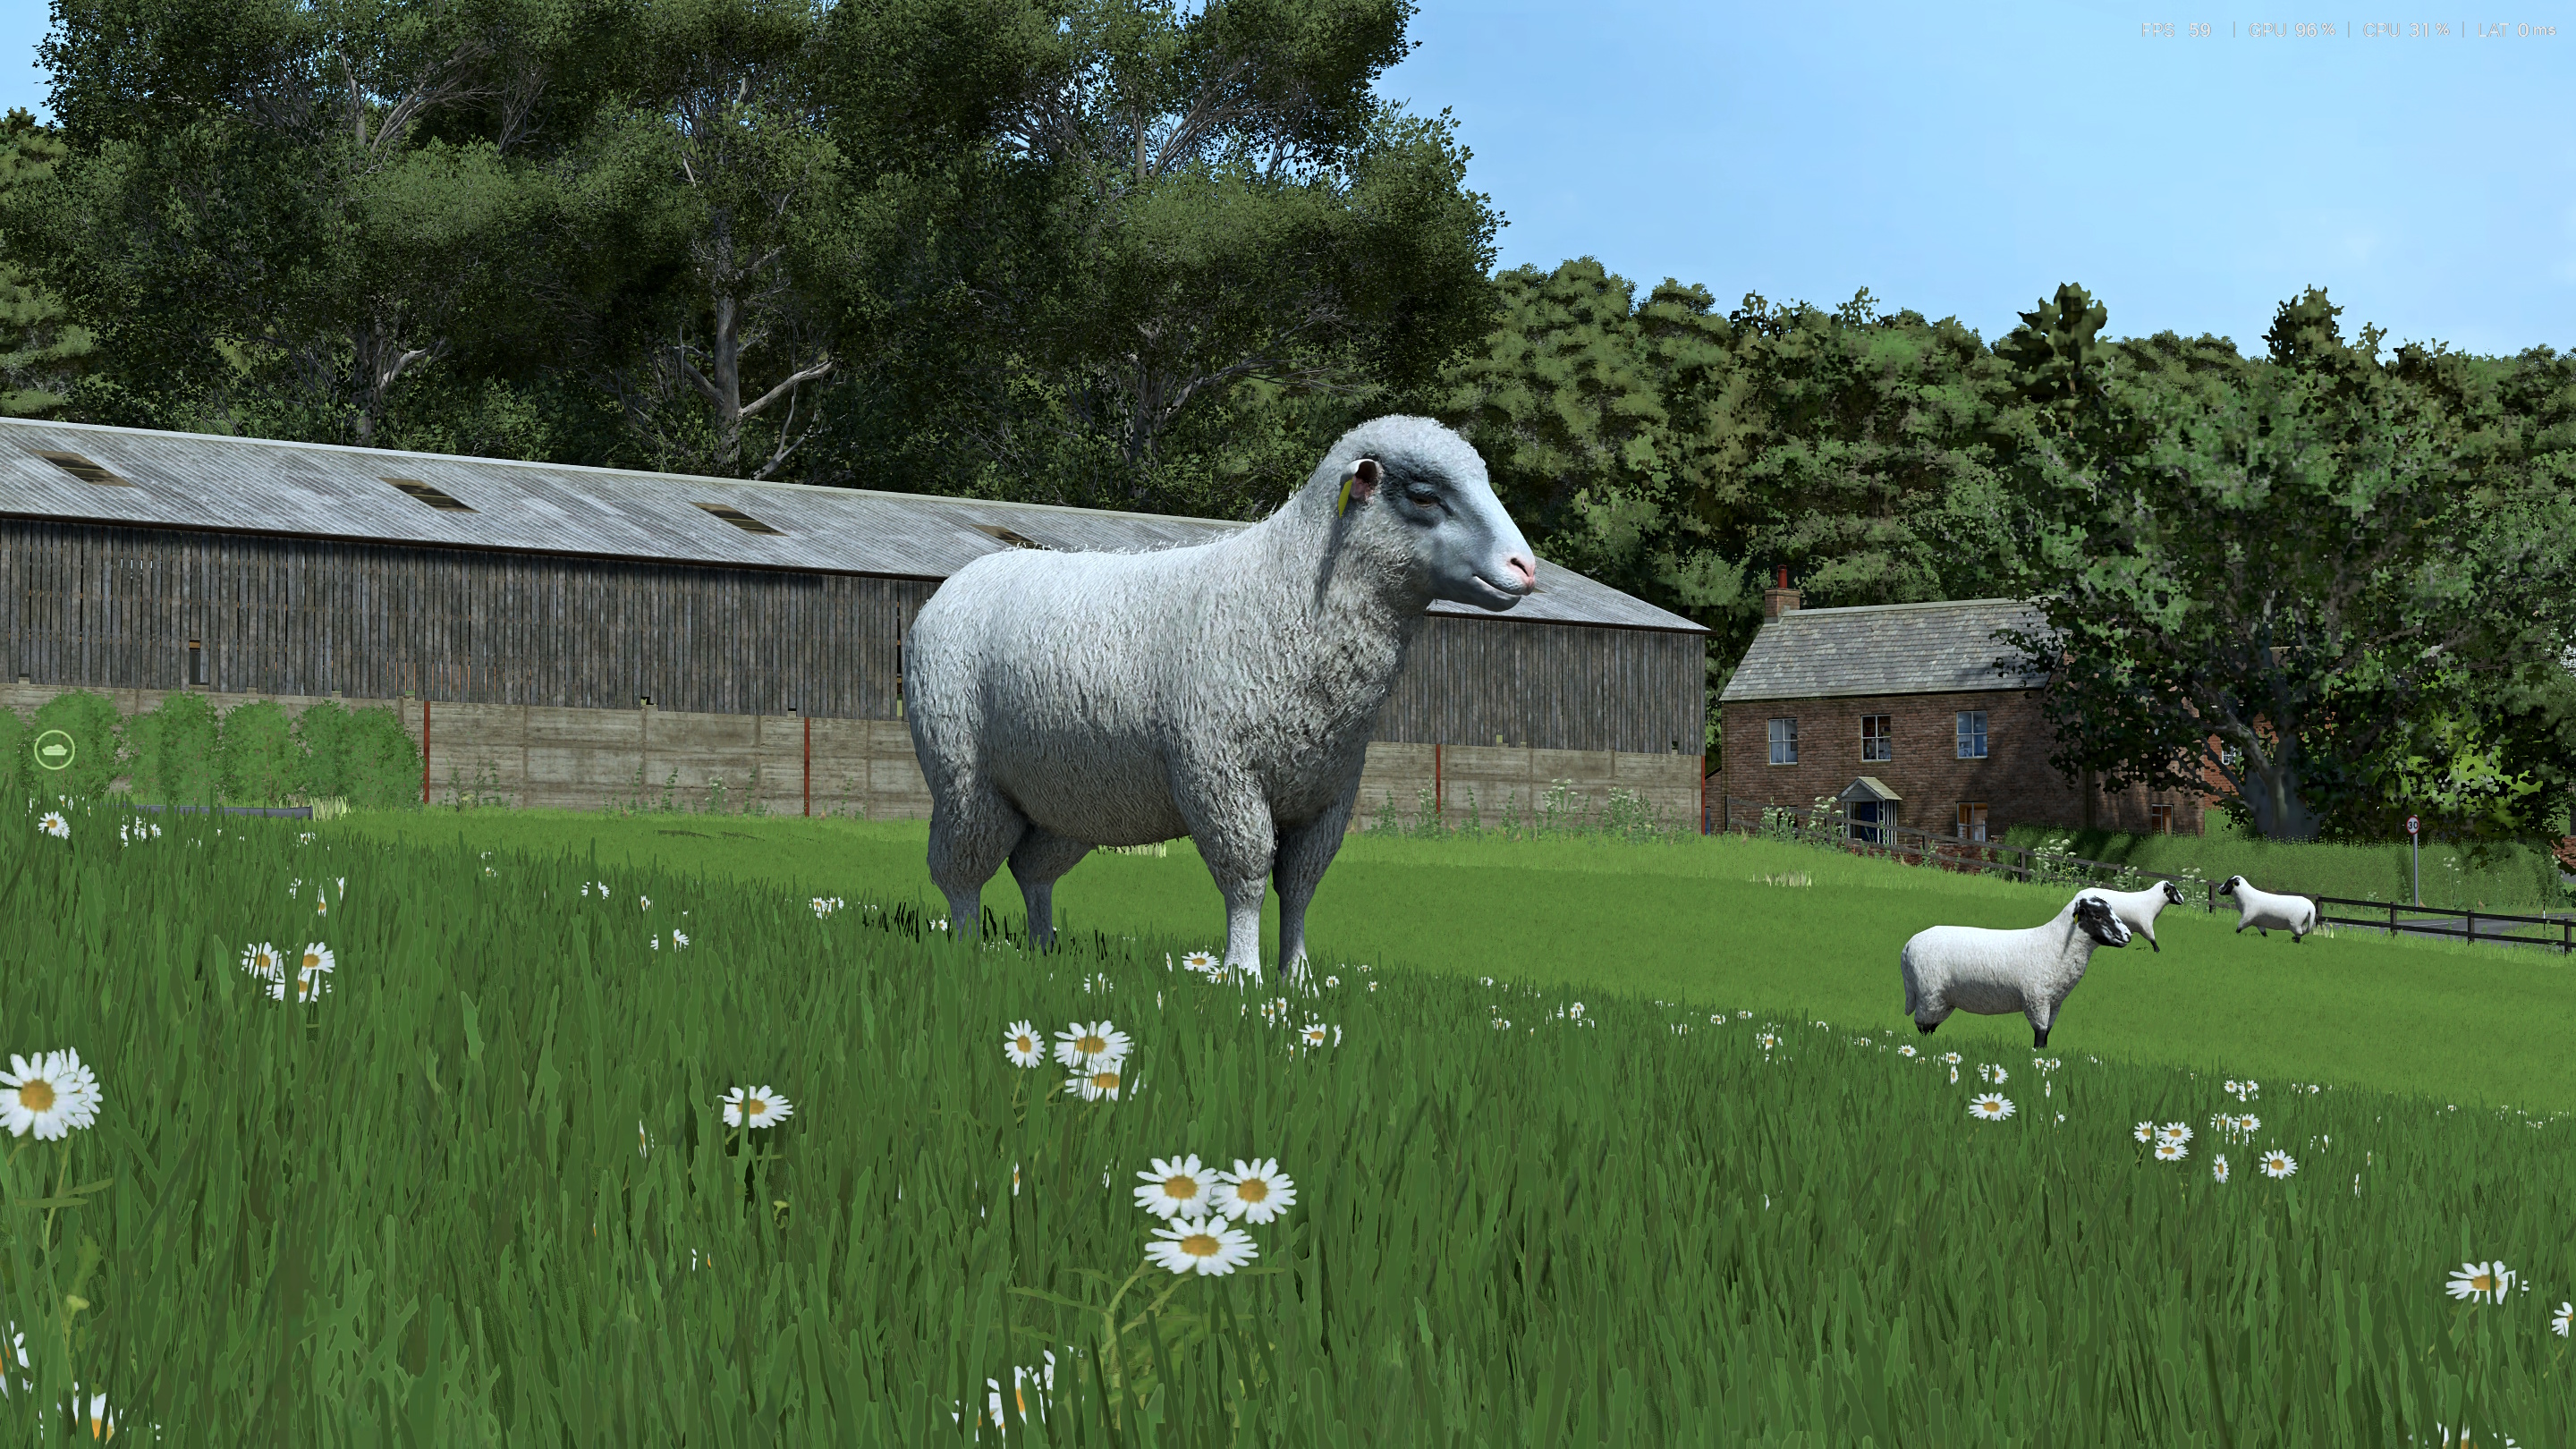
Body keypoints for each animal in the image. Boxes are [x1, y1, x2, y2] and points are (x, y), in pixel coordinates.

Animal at [905, 416, 1537, 977]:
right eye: (1426, 496)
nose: (1526, 568)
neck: (1290, 590)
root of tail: (963, 578)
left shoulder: (1329, 793)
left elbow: (1301, 885)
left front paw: (1299, 976)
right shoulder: (1219, 774)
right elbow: (1247, 875)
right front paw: (1242, 973)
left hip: (1070, 798)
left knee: (1032, 870)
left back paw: (1044, 948)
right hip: (967, 778)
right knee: (959, 871)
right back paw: (968, 949)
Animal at [1901, 893, 2133, 1050]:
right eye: (2097, 916)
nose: (2127, 936)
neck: (2057, 946)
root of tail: (1908, 945)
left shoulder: (2055, 1003)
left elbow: (2047, 1034)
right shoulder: (2036, 999)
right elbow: (2040, 1033)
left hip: (1942, 1000)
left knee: (1930, 1027)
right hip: (1929, 994)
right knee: (1923, 1027)